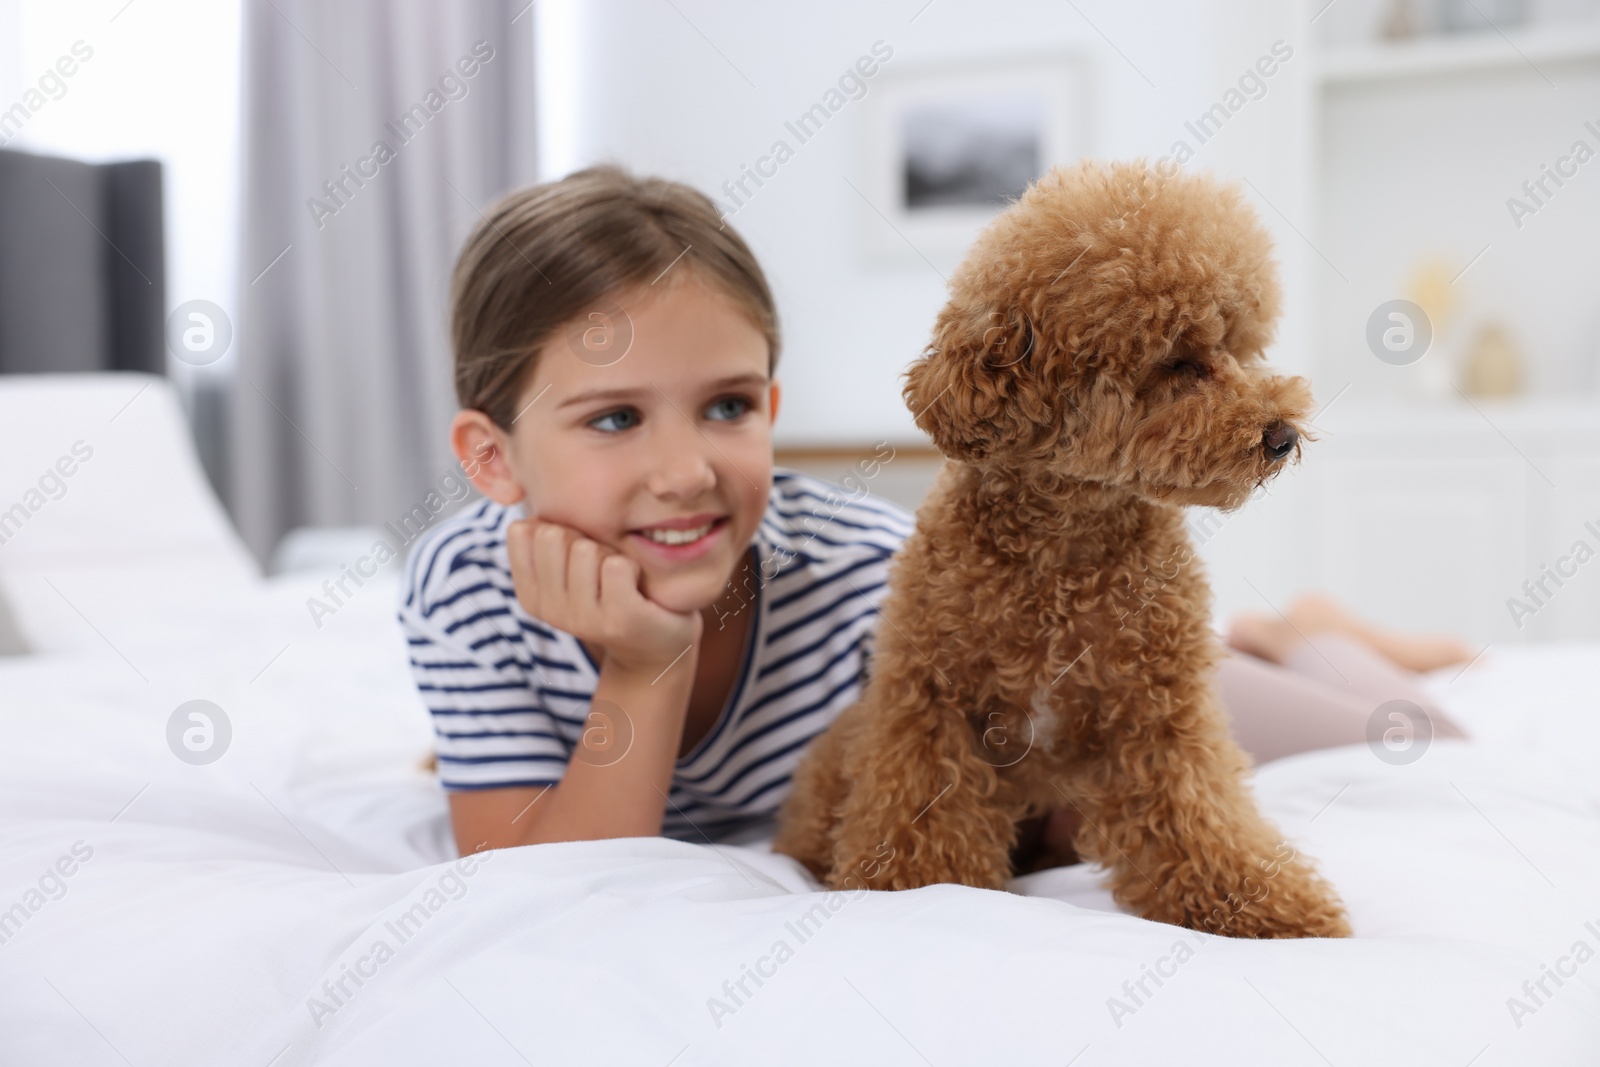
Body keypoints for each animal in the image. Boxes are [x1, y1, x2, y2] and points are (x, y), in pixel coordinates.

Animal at [774, 160, 1350, 940]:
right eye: (1179, 362)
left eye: (1238, 347)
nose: (1281, 435)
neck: (1065, 546)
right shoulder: (928, 705)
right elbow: (920, 817)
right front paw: (910, 892)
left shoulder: (1160, 715)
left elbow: (1199, 819)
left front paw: (1267, 907)